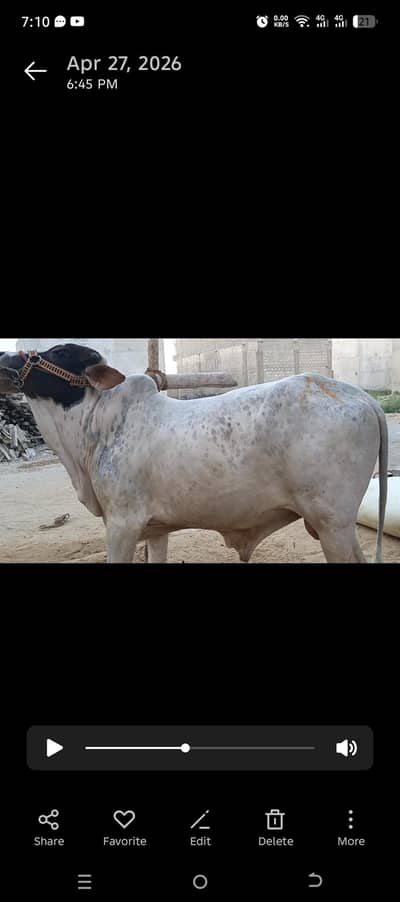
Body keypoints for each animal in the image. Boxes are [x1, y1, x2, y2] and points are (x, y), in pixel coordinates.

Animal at [0, 343, 388, 563]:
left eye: (59, 353)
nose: (5, 355)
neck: (94, 424)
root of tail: (360, 396)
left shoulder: (122, 523)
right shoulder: (155, 530)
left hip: (333, 525)